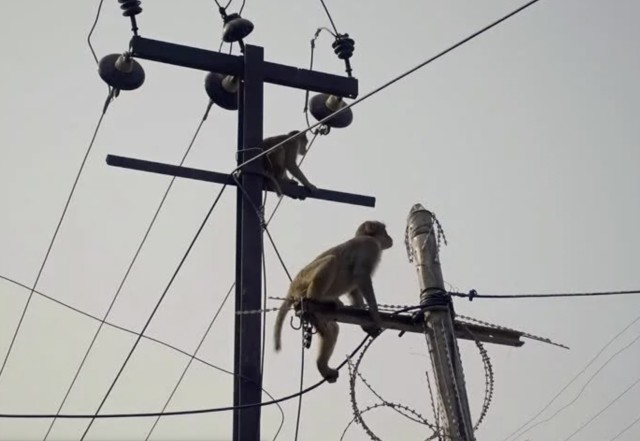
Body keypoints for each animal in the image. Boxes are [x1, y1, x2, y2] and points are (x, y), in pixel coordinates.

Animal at [272, 220, 392, 382]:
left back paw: (322, 366)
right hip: (304, 281)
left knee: (332, 330)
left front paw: (366, 324)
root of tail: (292, 289)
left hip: (313, 313)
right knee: (331, 260)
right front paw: (375, 315)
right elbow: (361, 275)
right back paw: (319, 298)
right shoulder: (369, 246)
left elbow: (354, 290)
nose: (390, 238)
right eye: (384, 229)